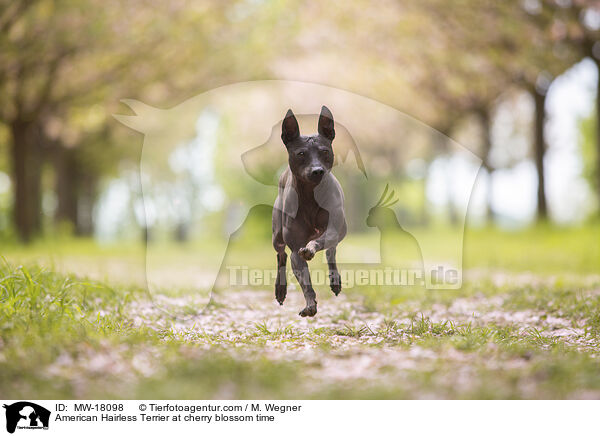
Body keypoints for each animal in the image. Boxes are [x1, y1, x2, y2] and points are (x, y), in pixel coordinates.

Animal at [272, 105, 346, 316]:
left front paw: (311, 249)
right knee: (281, 256)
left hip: (340, 231)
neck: (311, 196)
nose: (317, 171)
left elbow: (320, 242)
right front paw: (310, 304)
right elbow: (304, 280)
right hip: (277, 236)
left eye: (325, 151)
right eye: (301, 154)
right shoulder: (295, 250)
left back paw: (334, 279)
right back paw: (280, 289)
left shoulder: (332, 229)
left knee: (331, 251)